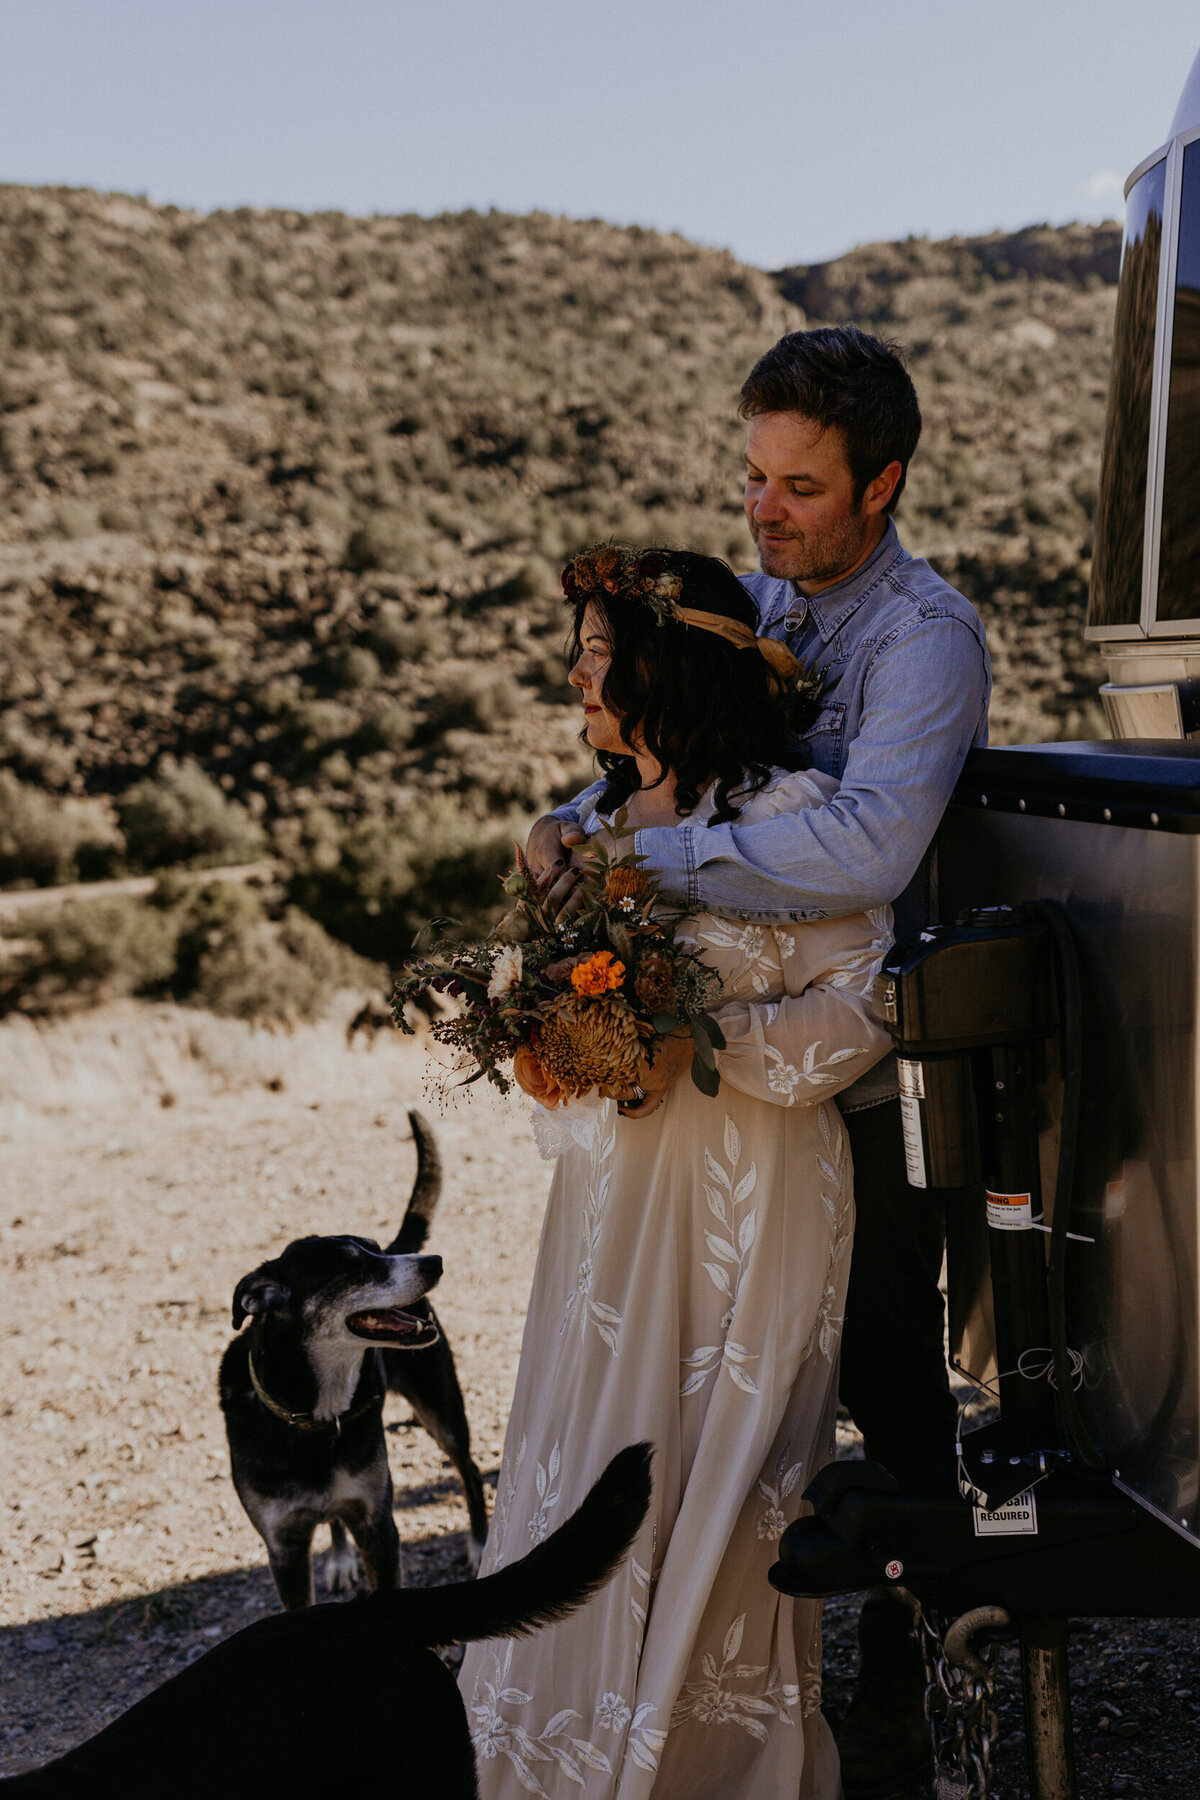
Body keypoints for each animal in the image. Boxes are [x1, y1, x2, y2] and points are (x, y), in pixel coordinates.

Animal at [220, 1108, 489, 1605]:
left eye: (377, 1250)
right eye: (352, 1265)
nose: (435, 1262)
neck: (312, 1411)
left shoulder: (378, 1525)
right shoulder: (284, 1546)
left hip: (441, 1410)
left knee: (470, 1470)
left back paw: (480, 1545)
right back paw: (341, 1560)